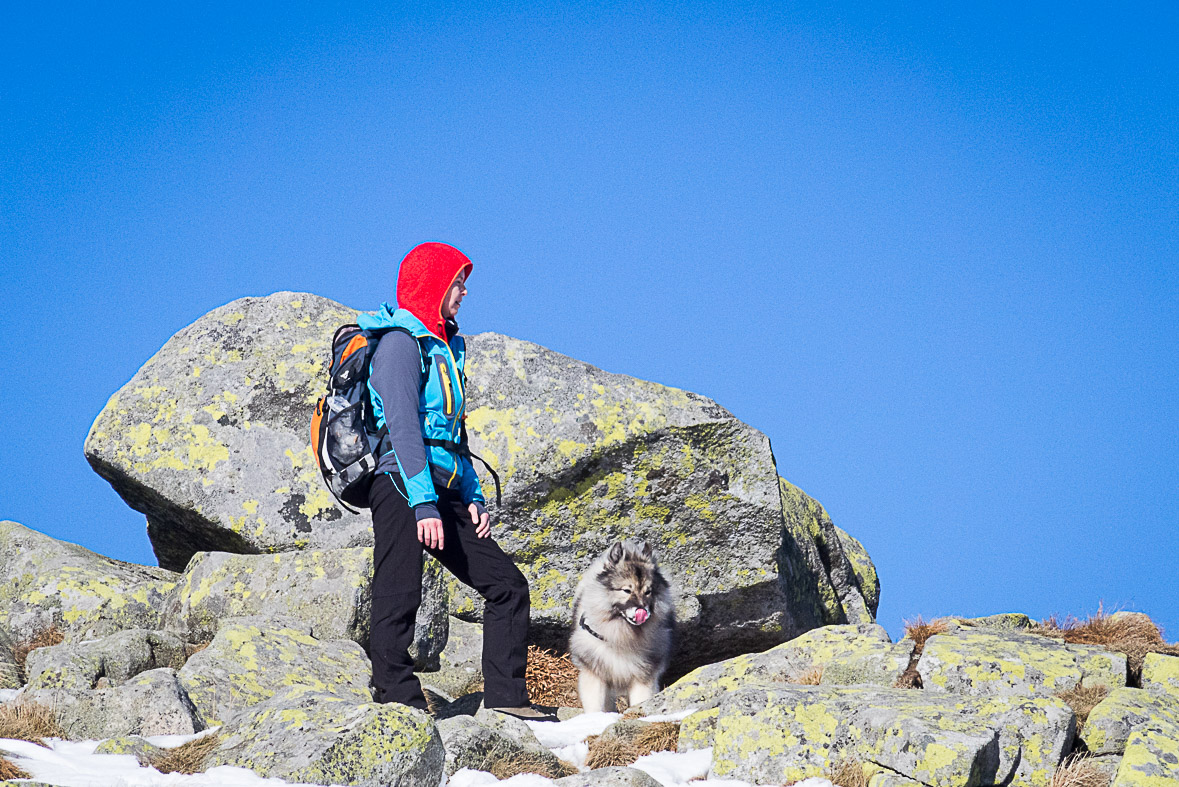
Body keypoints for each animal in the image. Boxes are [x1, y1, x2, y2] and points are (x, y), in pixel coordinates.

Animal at [568, 541, 674, 711]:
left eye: (648, 592)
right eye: (626, 590)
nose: (643, 611)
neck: (622, 637)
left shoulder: (643, 676)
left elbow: (640, 700)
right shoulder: (595, 673)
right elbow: (595, 704)